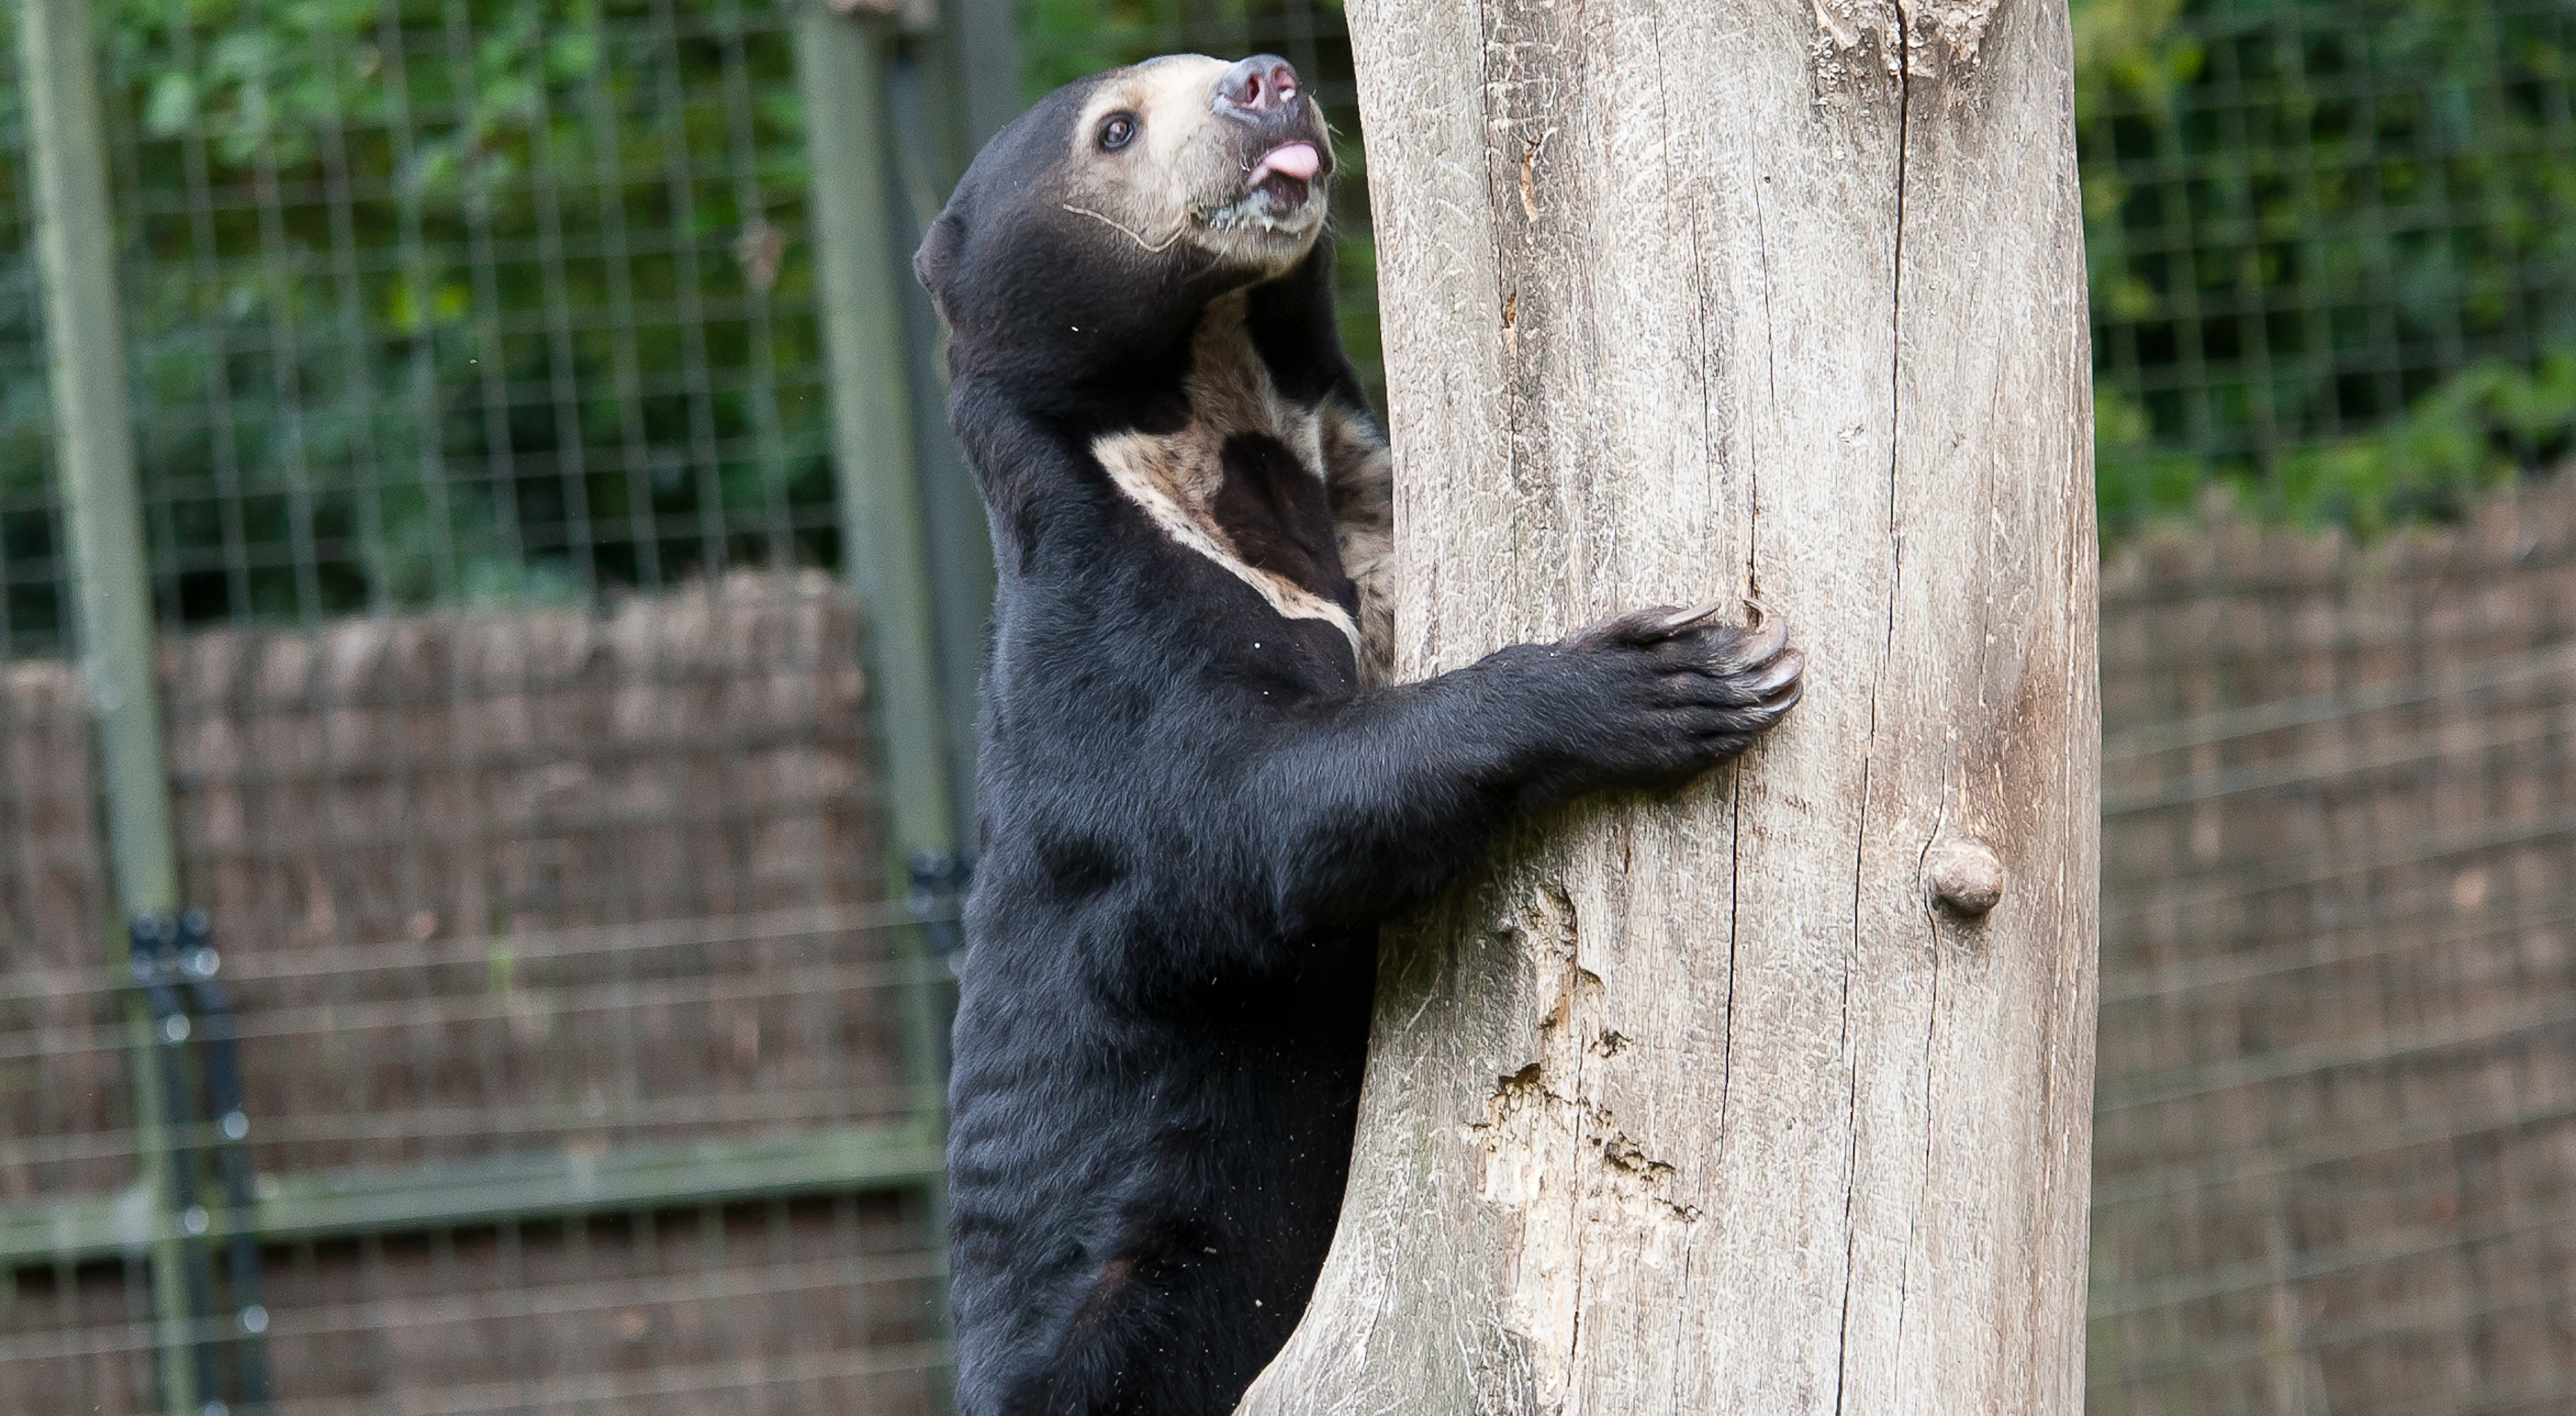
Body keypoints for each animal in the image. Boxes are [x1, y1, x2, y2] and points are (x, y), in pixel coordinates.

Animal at [914, 52, 1804, 1416]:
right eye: (1114, 129)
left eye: (1223, 73)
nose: (1268, 81)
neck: (1217, 433)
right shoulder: (1102, 652)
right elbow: (1254, 816)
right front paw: (1675, 673)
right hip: (1141, 1278)